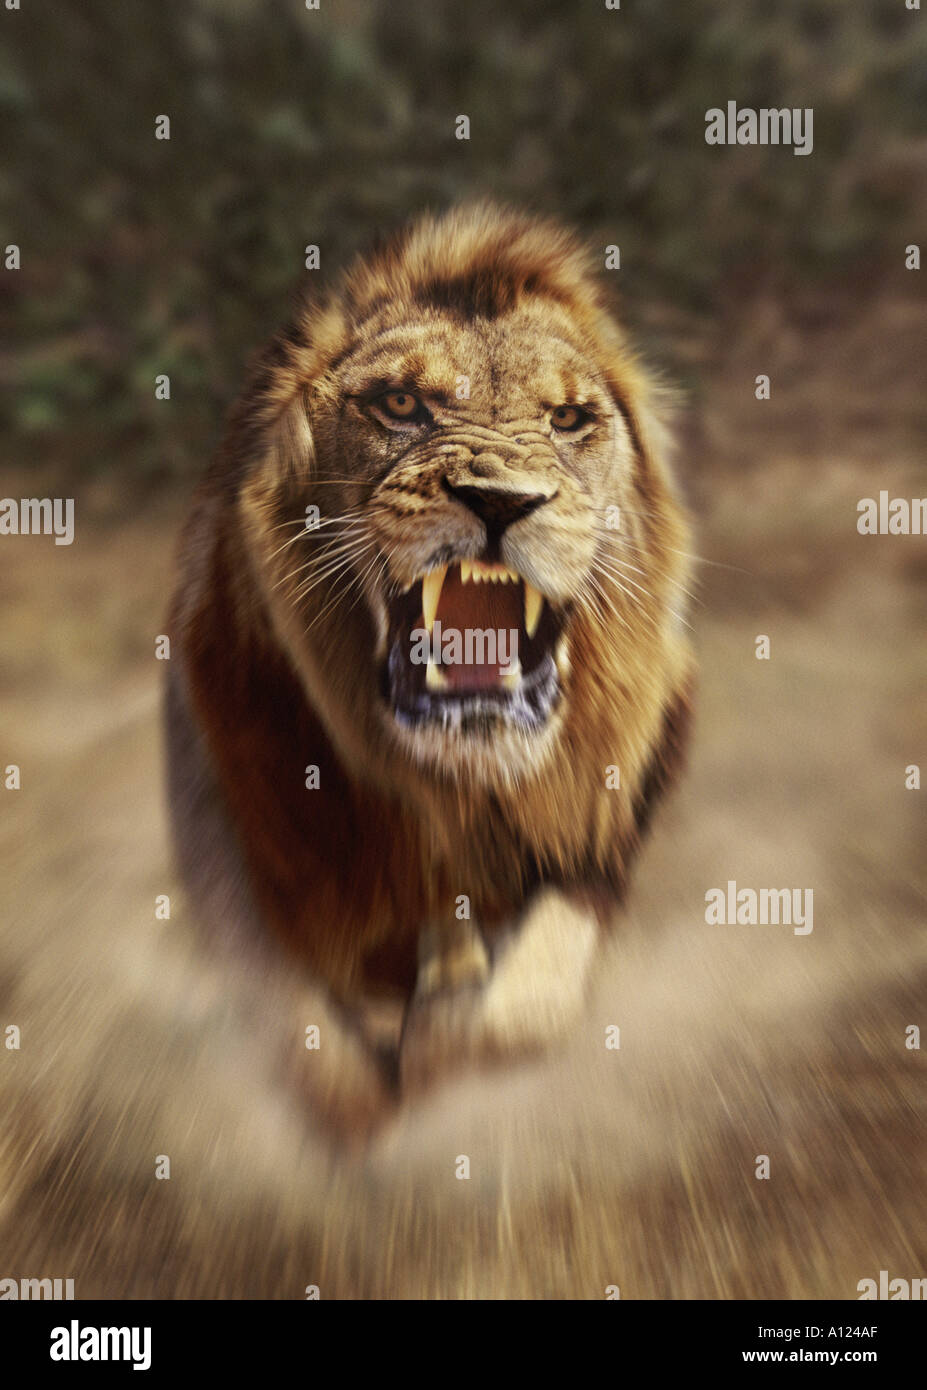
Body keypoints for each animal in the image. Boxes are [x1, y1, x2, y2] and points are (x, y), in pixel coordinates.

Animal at [165, 202, 694, 1131]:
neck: (451, 791)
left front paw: (444, 1033)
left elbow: (524, 997)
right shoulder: (227, 844)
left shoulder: (604, 828)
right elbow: (305, 1037)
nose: (501, 501)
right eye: (401, 404)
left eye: (567, 419)